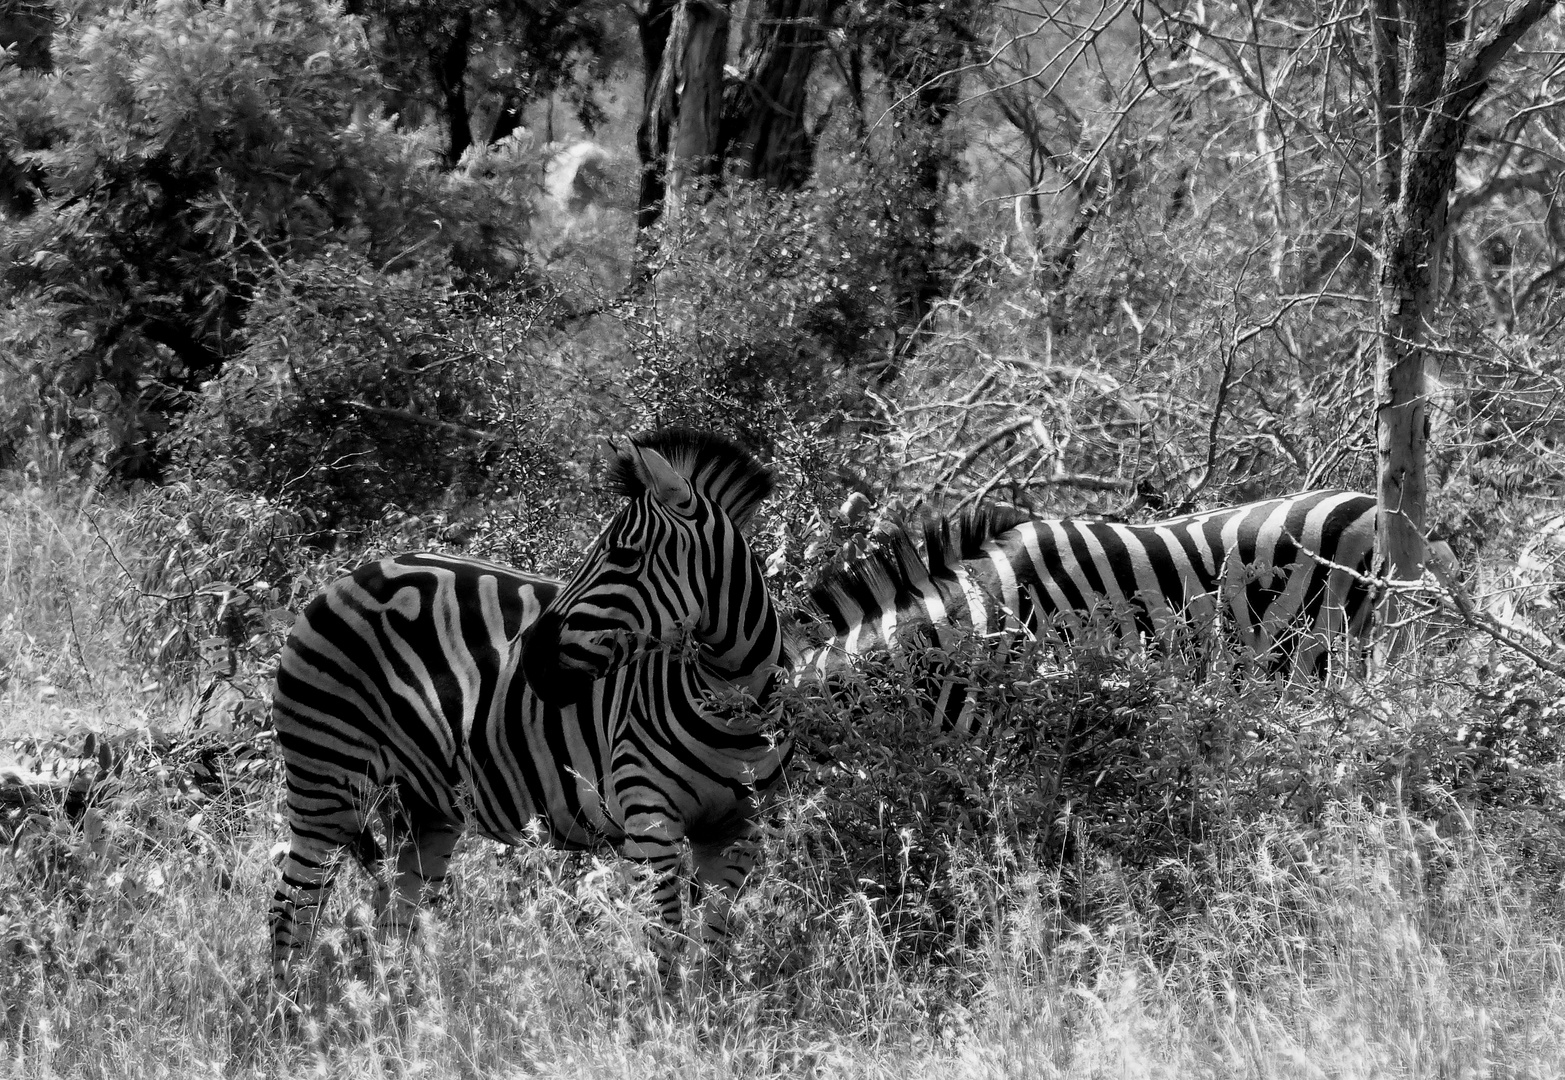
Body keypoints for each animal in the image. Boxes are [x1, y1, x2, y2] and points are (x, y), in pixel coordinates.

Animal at [269, 428, 788, 976]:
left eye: (625, 556)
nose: (530, 658)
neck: (732, 705)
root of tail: (345, 576)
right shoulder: (648, 822)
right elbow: (662, 948)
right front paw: (661, 997)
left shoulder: (738, 834)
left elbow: (713, 950)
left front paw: (706, 996)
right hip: (327, 782)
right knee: (291, 905)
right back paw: (293, 999)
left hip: (421, 806)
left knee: (395, 915)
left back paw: (405, 998)